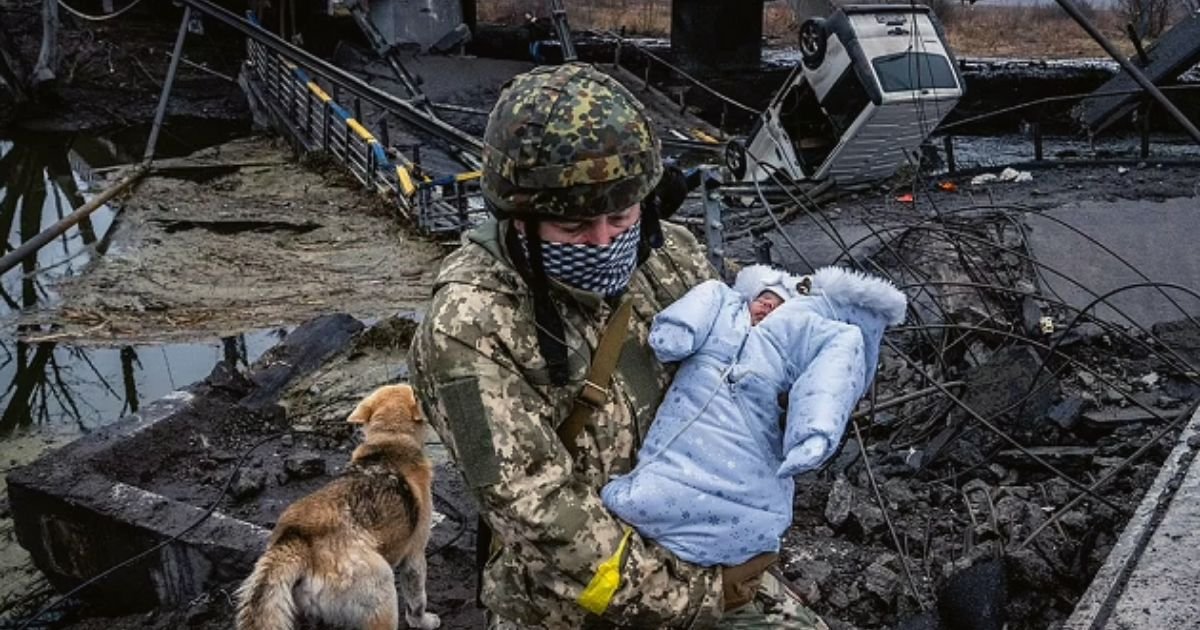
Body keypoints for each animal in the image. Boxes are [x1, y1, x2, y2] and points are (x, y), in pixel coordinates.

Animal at [234, 384, 441, 628]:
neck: (389, 440)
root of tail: (299, 539)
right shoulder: (415, 555)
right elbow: (417, 601)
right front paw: (424, 622)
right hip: (381, 591)